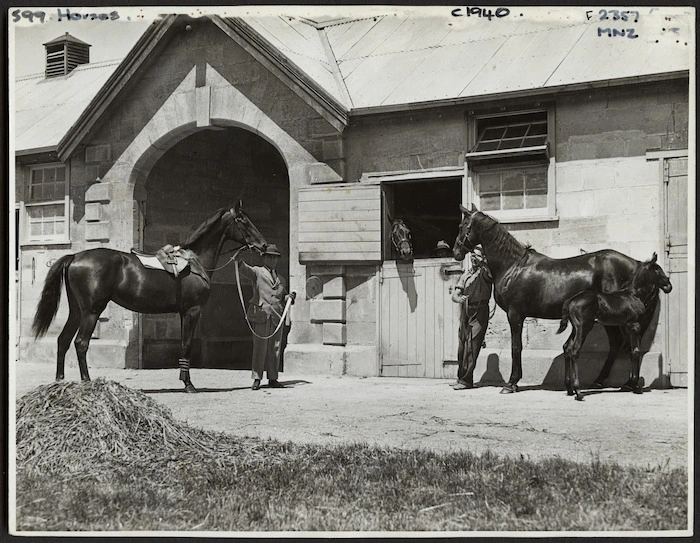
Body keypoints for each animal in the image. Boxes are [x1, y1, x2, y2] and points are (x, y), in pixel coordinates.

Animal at [30, 202, 266, 394]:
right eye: (243, 220)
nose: (263, 245)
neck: (194, 262)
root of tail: (75, 256)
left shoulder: (183, 313)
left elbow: (183, 344)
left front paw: (184, 380)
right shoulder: (193, 311)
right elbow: (187, 345)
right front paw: (189, 385)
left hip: (77, 311)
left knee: (63, 340)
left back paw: (59, 382)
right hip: (91, 311)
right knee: (81, 343)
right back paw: (87, 382)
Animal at [556, 253, 672, 402]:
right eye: (657, 270)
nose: (669, 286)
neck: (633, 294)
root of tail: (570, 301)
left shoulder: (627, 326)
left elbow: (631, 351)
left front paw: (632, 385)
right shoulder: (634, 325)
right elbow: (636, 351)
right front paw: (636, 386)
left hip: (576, 328)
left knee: (567, 347)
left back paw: (570, 389)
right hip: (584, 326)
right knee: (575, 350)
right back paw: (578, 391)